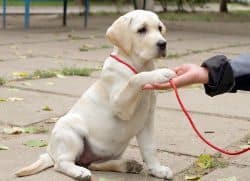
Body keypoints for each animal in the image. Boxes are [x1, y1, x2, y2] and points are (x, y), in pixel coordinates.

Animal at [15, 10, 176, 181]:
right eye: (142, 30)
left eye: (160, 28)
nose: (163, 43)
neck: (138, 65)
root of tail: (51, 152)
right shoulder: (120, 105)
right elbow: (135, 79)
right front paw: (160, 73)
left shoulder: (146, 119)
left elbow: (150, 148)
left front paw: (157, 169)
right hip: (71, 131)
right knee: (62, 163)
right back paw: (79, 172)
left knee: (94, 164)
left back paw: (127, 165)